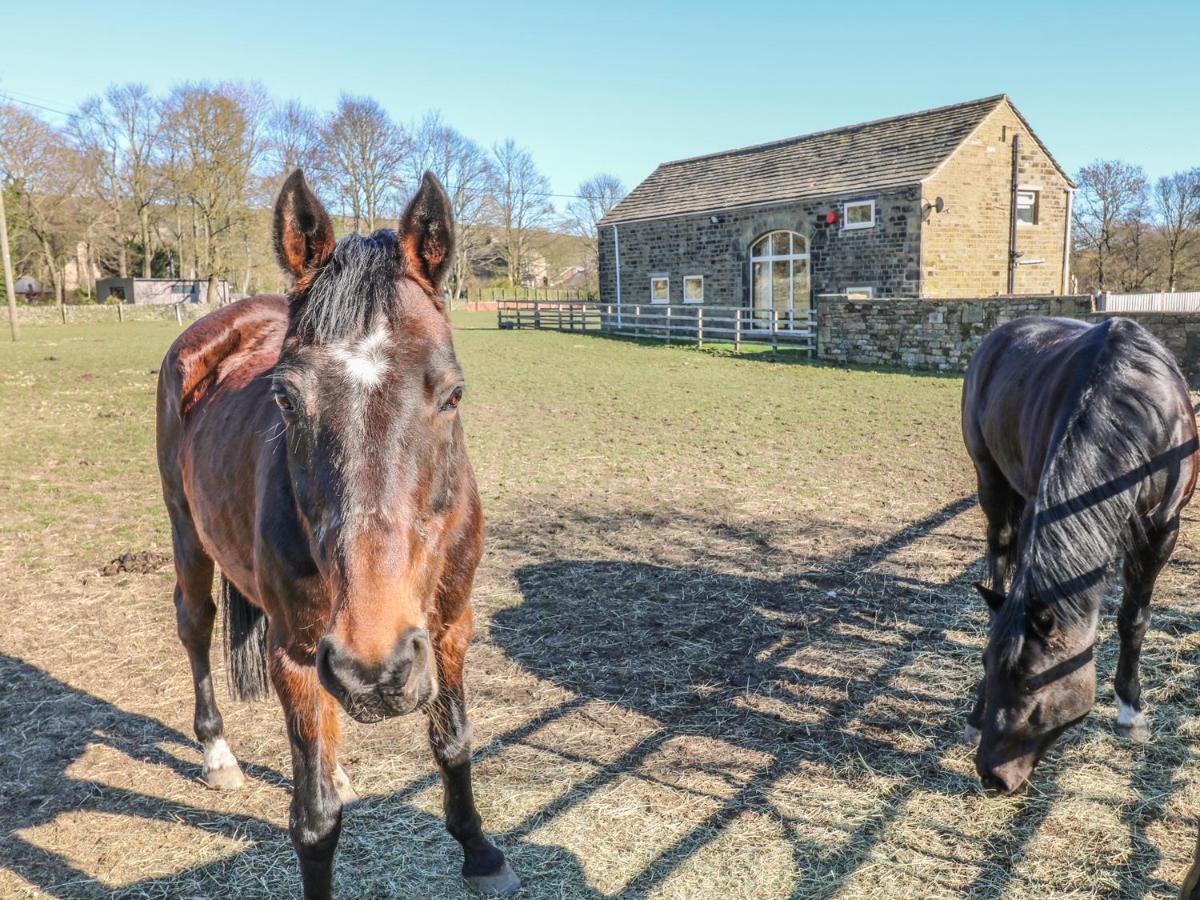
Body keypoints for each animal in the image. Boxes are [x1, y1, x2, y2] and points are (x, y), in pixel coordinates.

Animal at [154, 172, 516, 897]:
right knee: (195, 624)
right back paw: (216, 753)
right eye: (286, 399)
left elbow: (453, 741)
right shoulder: (295, 654)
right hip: (187, 532)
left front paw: (480, 851)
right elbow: (315, 818)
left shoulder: (450, 627)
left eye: (453, 394)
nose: (373, 669)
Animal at [964, 316, 1200, 796]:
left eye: (1035, 686)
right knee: (999, 557)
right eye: (984, 664)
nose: (991, 776)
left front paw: (1130, 710)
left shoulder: (1162, 530)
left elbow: (1134, 618)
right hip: (991, 481)